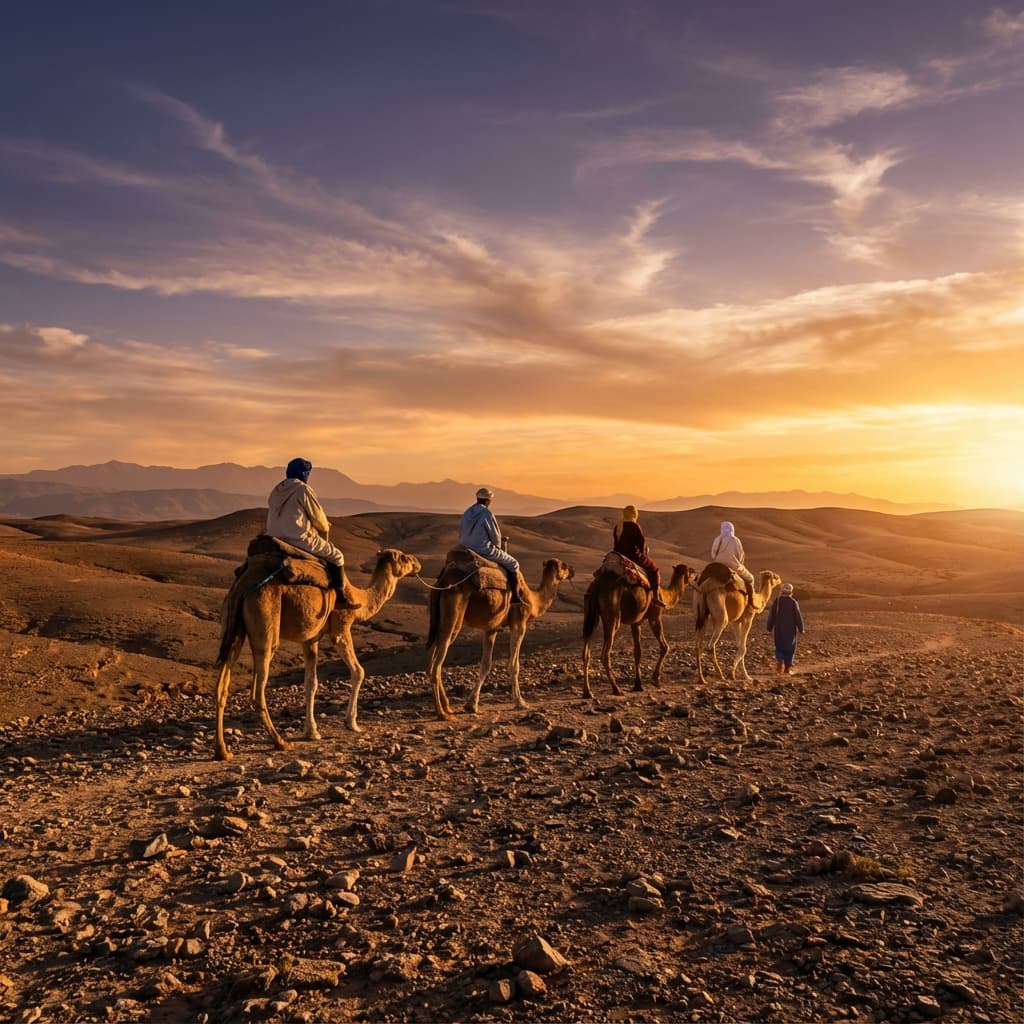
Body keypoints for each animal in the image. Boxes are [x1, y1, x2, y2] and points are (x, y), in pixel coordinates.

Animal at [213, 548, 422, 760]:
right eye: (404, 558)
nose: (417, 563)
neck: (359, 599)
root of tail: (242, 585)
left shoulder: (311, 639)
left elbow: (310, 682)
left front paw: (312, 731)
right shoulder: (340, 628)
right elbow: (358, 671)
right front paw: (352, 723)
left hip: (233, 627)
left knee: (222, 686)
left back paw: (223, 750)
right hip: (265, 622)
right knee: (257, 689)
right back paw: (280, 742)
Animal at [426, 557, 575, 719]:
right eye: (564, 565)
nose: (573, 571)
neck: (533, 600)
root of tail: (442, 581)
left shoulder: (491, 628)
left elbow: (485, 665)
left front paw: (471, 705)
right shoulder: (519, 623)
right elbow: (514, 665)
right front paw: (520, 702)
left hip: (437, 620)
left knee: (431, 661)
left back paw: (447, 707)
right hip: (453, 616)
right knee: (436, 665)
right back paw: (442, 713)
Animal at [581, 562, 698, 698]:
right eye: (691, 570)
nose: (697, 575)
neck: (665, 596)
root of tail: (597, 585)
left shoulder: (636, 623)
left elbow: (638, 652)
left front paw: (638, 685)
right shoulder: (655, 617)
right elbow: (665, 647)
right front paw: (655, 679)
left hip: (590, 614)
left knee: (586, 651)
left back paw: (587, 692)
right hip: (612, 615)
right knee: (605, 654)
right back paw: (616, 689)